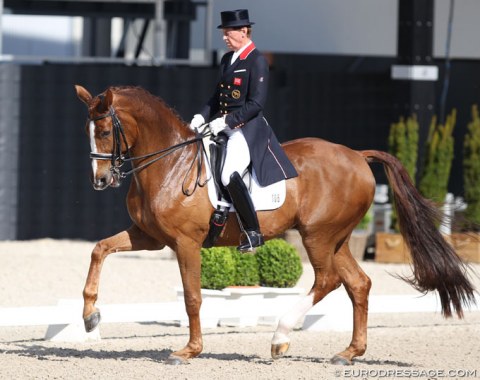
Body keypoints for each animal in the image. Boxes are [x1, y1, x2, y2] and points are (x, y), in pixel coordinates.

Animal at [76, 84, 476, 364]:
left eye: (106, 132)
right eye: (88, 132)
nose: (99, 181)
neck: (171, 164)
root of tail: (357, 155)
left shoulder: (185, 242)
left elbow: (192, 296)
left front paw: (189, 350)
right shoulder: (150, 237)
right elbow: (99, 250)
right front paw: (91, 317)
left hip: (318, 235)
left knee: (328, 280)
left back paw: (280, 337)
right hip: (337, 238)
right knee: (358, 284)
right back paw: (348, 353)